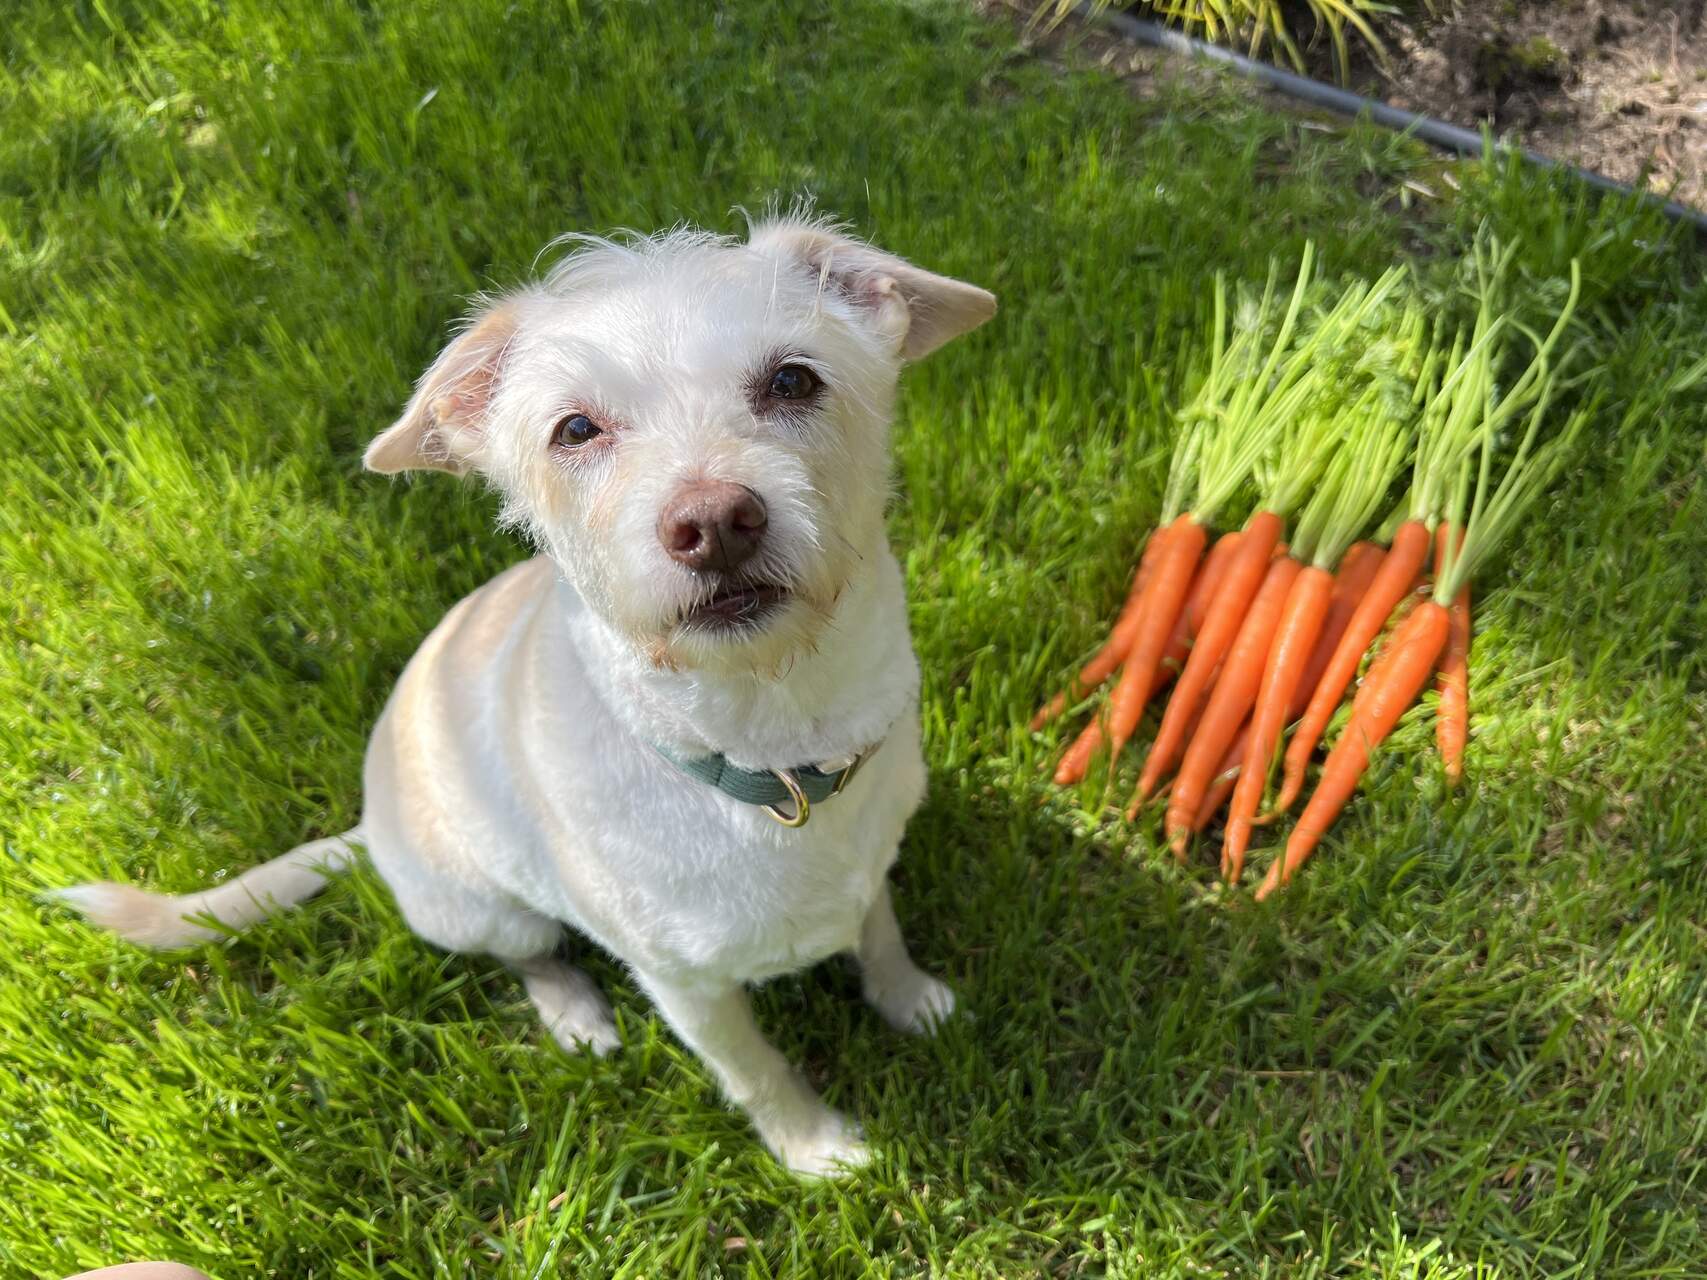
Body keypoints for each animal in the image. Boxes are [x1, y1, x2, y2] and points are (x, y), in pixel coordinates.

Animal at [56, 215, 996, 1181]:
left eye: (793, 380)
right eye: (574, 429)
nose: (712, 523)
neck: (769, 746)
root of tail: (368, 827)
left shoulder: (871, 861)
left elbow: (880, 929)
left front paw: (908, 997)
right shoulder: (685, 988)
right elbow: (754, 1069)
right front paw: (813, 1148)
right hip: (487, 912)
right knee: (531, 958)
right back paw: (573, 1013)